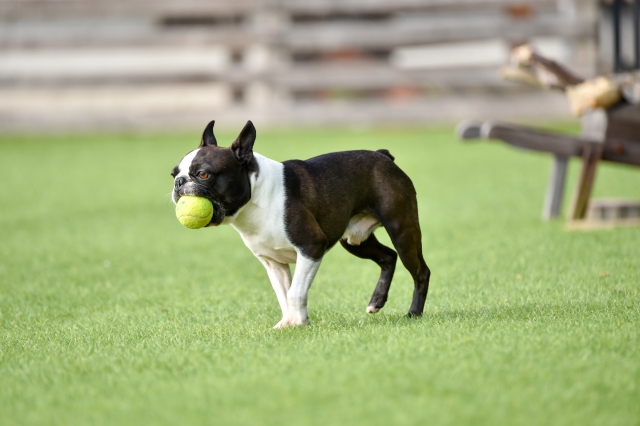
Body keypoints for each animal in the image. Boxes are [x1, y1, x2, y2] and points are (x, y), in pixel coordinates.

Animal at [171, 121, 430, 328]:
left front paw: (299, 323)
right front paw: (288, 324)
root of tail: (383, 156)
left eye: (203, 174)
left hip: (401, 229)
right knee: (388, 257)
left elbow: (295, 292)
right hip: (354, 240)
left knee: (420, 271)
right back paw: (376, 302)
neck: (256, 197)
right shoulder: (273, 263)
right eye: (173, 173)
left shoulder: (311, 248)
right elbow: (283, 295)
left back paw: (413, 314)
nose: (179, 182)